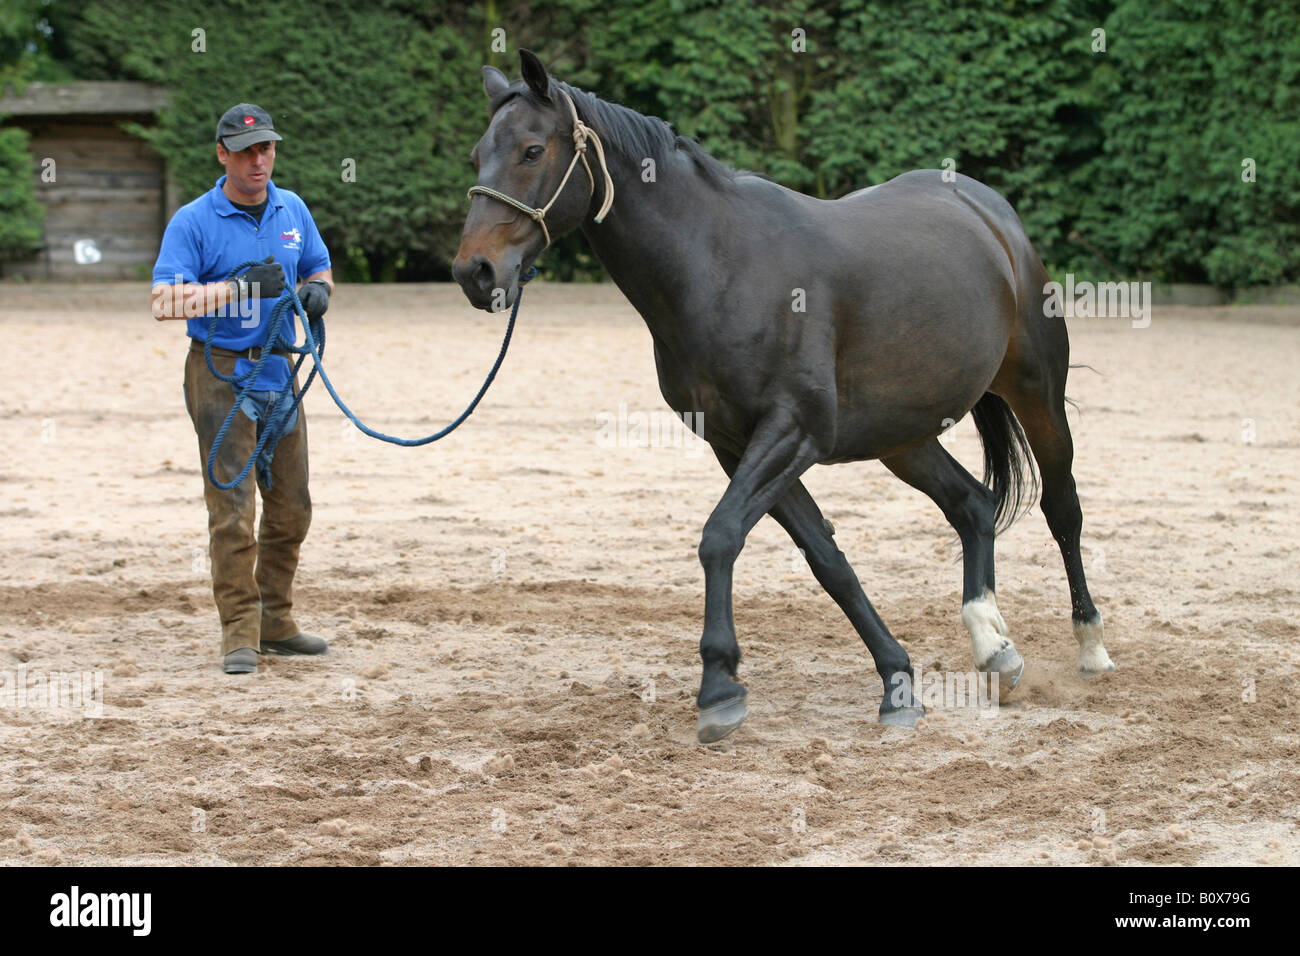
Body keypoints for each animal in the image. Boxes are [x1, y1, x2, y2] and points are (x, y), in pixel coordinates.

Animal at [452, 49, 1115, 744]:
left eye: (531, 150)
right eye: (478, 154)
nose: (474, 272)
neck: (719, 266)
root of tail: (990, 213)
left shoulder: (793, 431)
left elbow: (720, 536)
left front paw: (719, 686)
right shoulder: (736, 443)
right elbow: (825, 558)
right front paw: (896, 681)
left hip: (1037, 392)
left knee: (1063, 509)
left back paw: (1090, 645)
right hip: (903, 436)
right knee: (972, 505)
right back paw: (992, 644)